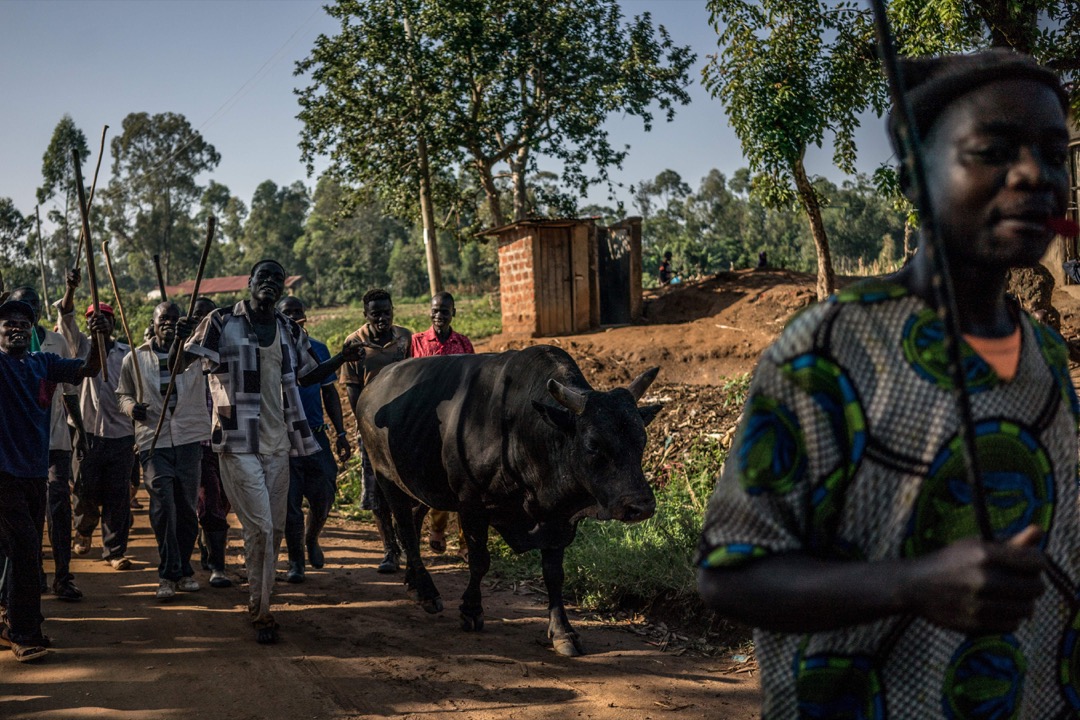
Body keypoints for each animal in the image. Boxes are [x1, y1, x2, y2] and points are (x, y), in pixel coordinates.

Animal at [358, 345, 660, 656]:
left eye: (641, 440)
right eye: (593, 445)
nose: (641, 506)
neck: (522, 433)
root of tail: (373, 384)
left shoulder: (557, 520)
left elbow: (554, 575)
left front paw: (563, 632)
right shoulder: (472, 506)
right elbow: (479, 561)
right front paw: (471, 610)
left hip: (418, 486)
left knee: (413, 526)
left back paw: (413, 584)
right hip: (385, 476)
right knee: (405, 529)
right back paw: (427, 592)